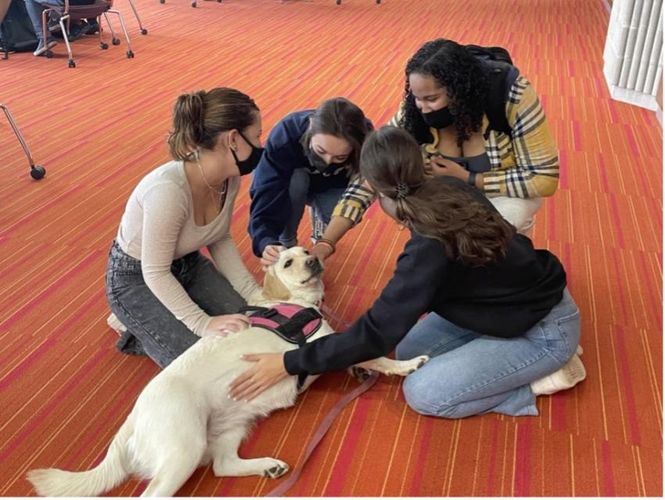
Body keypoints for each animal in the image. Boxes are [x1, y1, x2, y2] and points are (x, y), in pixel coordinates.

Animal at [26, 248, 428, 498]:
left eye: (306, 250)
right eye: (288, 262)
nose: (314, 259)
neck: (292, 304)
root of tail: (132, 419)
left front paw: (361, 372)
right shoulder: (322, 343)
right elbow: (376, 355)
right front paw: (406, 365)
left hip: (230, 424)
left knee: (222, 466)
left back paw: (268, 467)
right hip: (184, 450)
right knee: (156, 492)